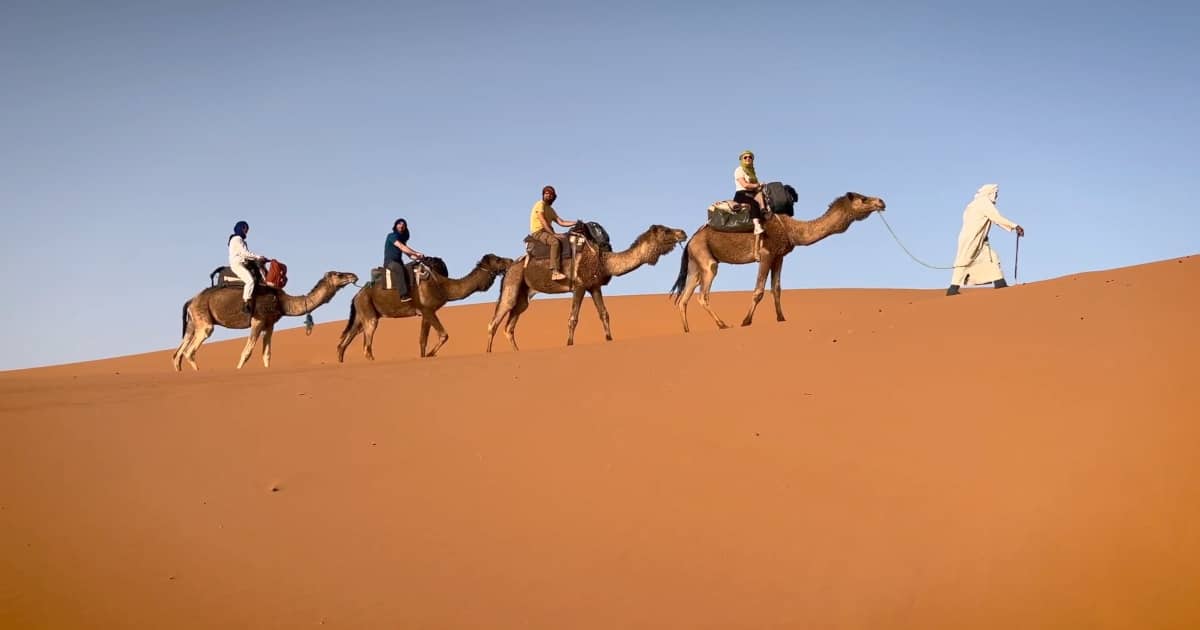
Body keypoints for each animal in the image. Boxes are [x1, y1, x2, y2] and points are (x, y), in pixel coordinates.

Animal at [174, 268, 357, 369]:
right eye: (339, 274)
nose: (354, 276)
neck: (282, 301)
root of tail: (191, 300)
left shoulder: (270, 324)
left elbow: (267, 354)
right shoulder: (258, 320)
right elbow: (246, 353)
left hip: (193, 323)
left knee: (178, 355)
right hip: (204, 321)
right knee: (189, 351)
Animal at [336, 250, 513, 357]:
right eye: (498, 259)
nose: (510, 260)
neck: (443, 286)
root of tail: (357, 295)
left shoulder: (425, 312)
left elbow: (422, 341)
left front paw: (424, 356)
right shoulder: (428, 310)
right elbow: (443, 335)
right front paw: (430, 355)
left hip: (361, 315)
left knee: (343, 344)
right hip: (368, 313)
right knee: (366, 347)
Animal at [484, 220, 686, 350]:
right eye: (666, 230)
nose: (682, 233)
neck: (603, 259)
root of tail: (511, 265)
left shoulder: (594, 286)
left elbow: (604, 314)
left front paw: (609, 339)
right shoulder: (580, 285)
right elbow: (573, 318)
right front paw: (569, 344)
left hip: (524, 294)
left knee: (510, 326)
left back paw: (516, 352)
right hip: (512, 282)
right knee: (495, 321)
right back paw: (488, 353)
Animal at [672, 190, 888, 328]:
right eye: (863, 198)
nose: (881, 202)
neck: (792, 230)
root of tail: (691, 239)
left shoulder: (779, 256)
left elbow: (776, 289)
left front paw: (781, 318)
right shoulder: (766, 254)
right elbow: (758, 291)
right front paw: (746, 321)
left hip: (695, 263)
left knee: (684, 298)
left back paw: (687, 330)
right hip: (705, 257)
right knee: (703, 293)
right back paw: (722, 324)